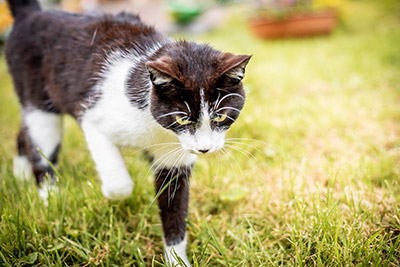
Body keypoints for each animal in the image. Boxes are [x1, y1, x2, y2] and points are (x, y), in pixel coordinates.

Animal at [4, 0, 250, 266]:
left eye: (221, 116)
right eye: (182, 118)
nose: (204, 148)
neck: (156, 127)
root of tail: (32, 13)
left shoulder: (175, 157)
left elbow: (174, 206)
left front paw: (176, 259)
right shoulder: (93, 116)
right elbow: (120, 183)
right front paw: (108, 193)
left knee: (25, 133)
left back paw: (20, 174)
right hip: (38, 102)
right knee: (41, 145)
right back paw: (50, 198)